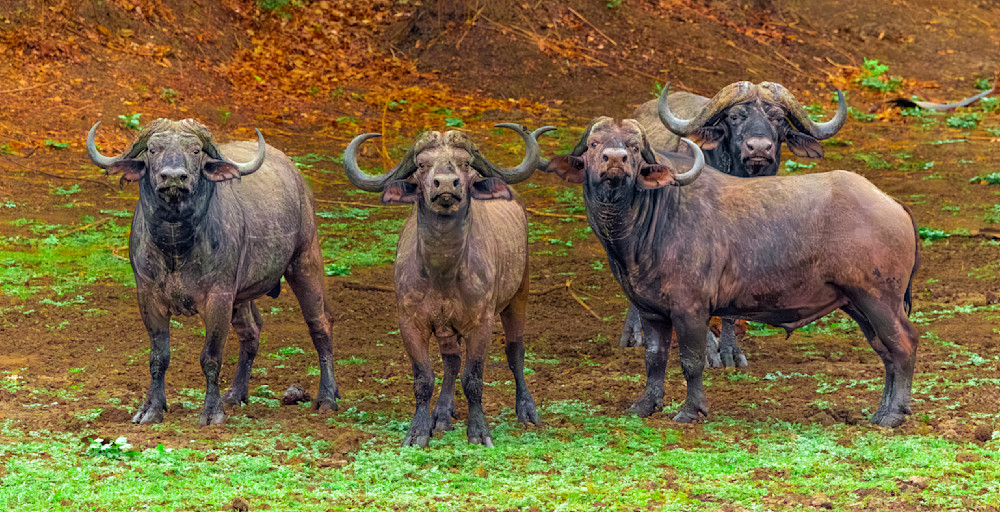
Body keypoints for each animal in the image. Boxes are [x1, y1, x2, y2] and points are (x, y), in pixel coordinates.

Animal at [87, 119, 339, 426]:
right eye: (152, 149)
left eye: (196, 150)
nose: (174, 178)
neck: (176, 246)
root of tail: (297, 178)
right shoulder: (148, 297)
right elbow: (158, 357)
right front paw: (151, 409)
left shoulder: (219, 297)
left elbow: (210, 357)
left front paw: (211, 412)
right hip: (242, 294)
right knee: (251, 331)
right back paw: (235, 393)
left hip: (305, 259)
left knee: (320, 324)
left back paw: (327, 397)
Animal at [344, 123, 547, 446]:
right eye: (422, 165)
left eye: (465, 163)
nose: (446, 185)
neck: (442, 272)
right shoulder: (411, 322)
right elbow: (424, 379)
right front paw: (419, 430)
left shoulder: (482, 322)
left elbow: (473, 378)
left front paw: (479, 431)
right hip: (446, 327)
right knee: (451, 360)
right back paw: (442, 413)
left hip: (519, 293)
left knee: (515, 351)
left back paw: (526, 410)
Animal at [541, 117, 919, 427]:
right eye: (594, 145)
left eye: (634, 147)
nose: (615, 160)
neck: (650, 221)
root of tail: (892, 204)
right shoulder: (651, 312)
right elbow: (654, 359)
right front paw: (645, 405)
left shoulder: (690, 309)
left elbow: (691, 361)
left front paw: (690, 411)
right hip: (857, 304)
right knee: (886, 352)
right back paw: (882, 412)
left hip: (879, 300)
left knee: (904, 344)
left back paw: (893, 415)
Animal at [618, 81, 848, 367]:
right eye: (736, 117)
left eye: (778, 118)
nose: (759, 148)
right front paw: (708, 352)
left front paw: (730, 352)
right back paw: (633, 334)